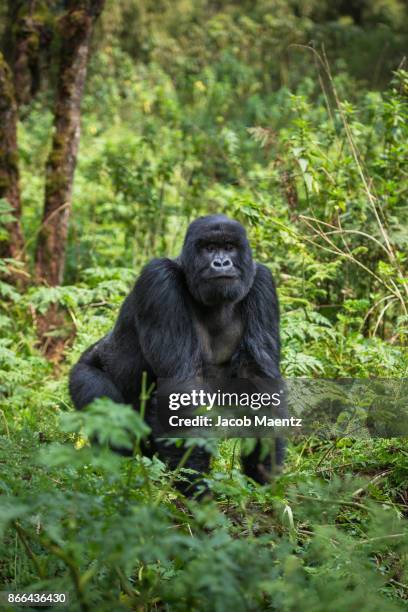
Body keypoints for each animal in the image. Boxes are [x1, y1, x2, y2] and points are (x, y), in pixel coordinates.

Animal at [69, 215, 284, 492]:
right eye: (208, 248)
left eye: (229, 247)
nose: (221, 262)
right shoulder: (159, 280)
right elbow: (180, 388)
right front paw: (197, 489)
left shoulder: (262, 283)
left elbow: (259, 383)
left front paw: (264, 481)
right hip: (82, 372)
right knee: (101, 400)